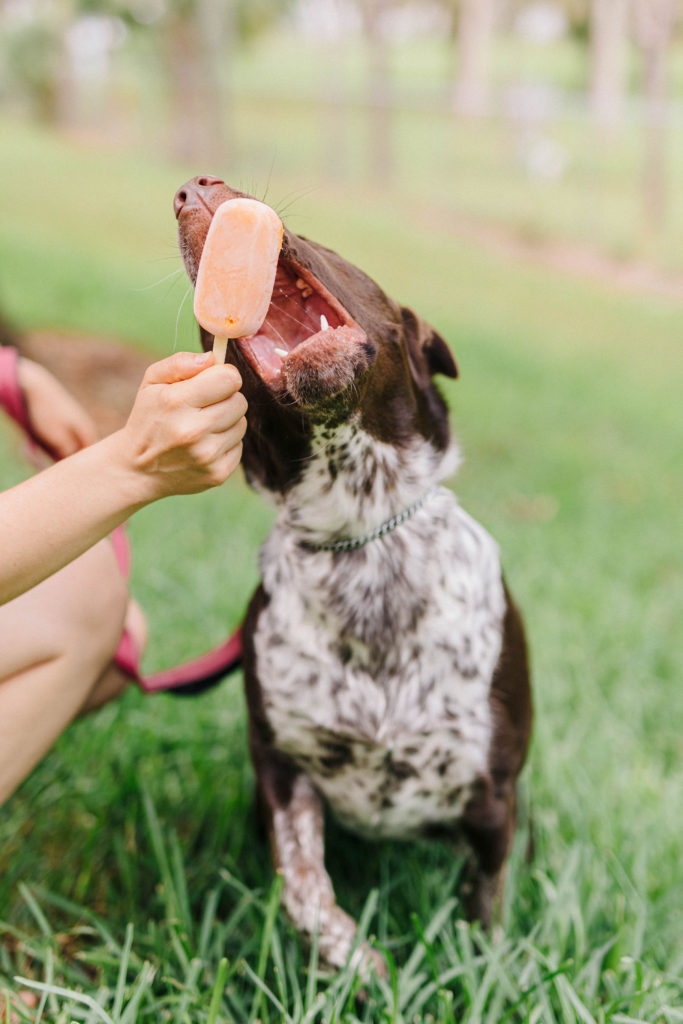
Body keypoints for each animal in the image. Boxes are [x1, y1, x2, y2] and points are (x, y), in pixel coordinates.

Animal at [174, 178, 532, 974]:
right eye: (205, 342)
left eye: (329, 246)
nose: (192, 186)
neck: (361, 537)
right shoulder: (282, 771)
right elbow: (306, 895)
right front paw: (368, 967)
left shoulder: (491, 797)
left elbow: (485, 920)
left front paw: (475, 975)